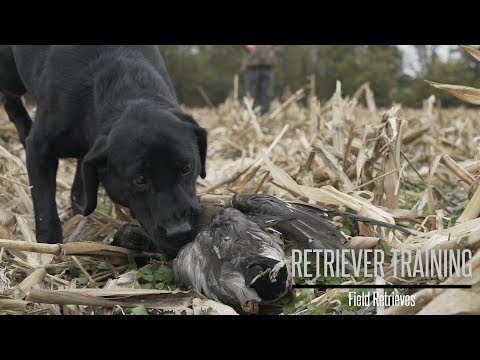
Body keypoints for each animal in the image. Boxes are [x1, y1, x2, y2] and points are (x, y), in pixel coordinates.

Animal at [0, 45, 206, 256]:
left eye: (187, 167)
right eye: (139, 179)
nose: (180, 231)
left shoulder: (88, 154)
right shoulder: (40, 148)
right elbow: (44, 203)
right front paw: (48, 245)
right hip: (9, 73)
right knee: (9, 97)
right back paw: (24, 127)